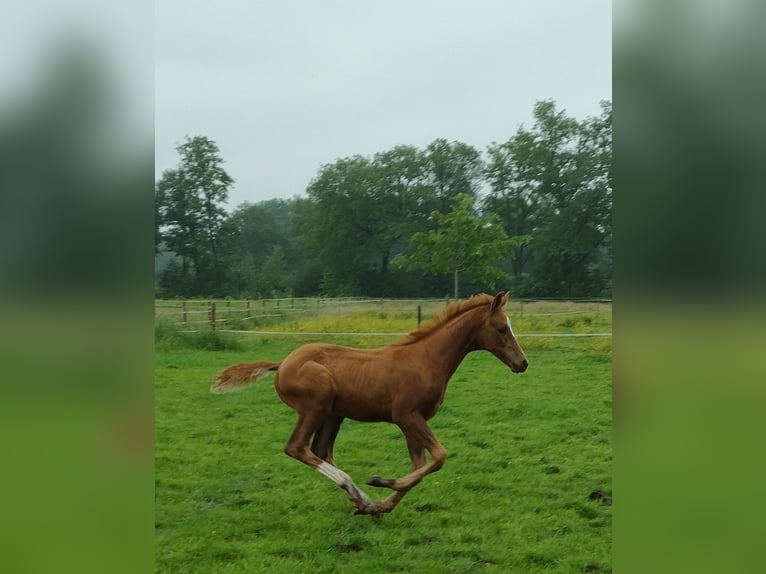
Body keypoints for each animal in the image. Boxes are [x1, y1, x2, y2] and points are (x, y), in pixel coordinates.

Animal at [213, 292, 532, 516]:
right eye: (502, 329)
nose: (523, 363)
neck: (427, 359)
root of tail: (282, 364)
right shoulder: (408, 416)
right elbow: (438, 457)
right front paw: (379, 482)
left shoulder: (412, 421)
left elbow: (419, 465)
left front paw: (380, 506)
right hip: (315, 406)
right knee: (297, 448)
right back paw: (357, 493)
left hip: (333, 414)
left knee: (320, 450)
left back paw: (360, 501)